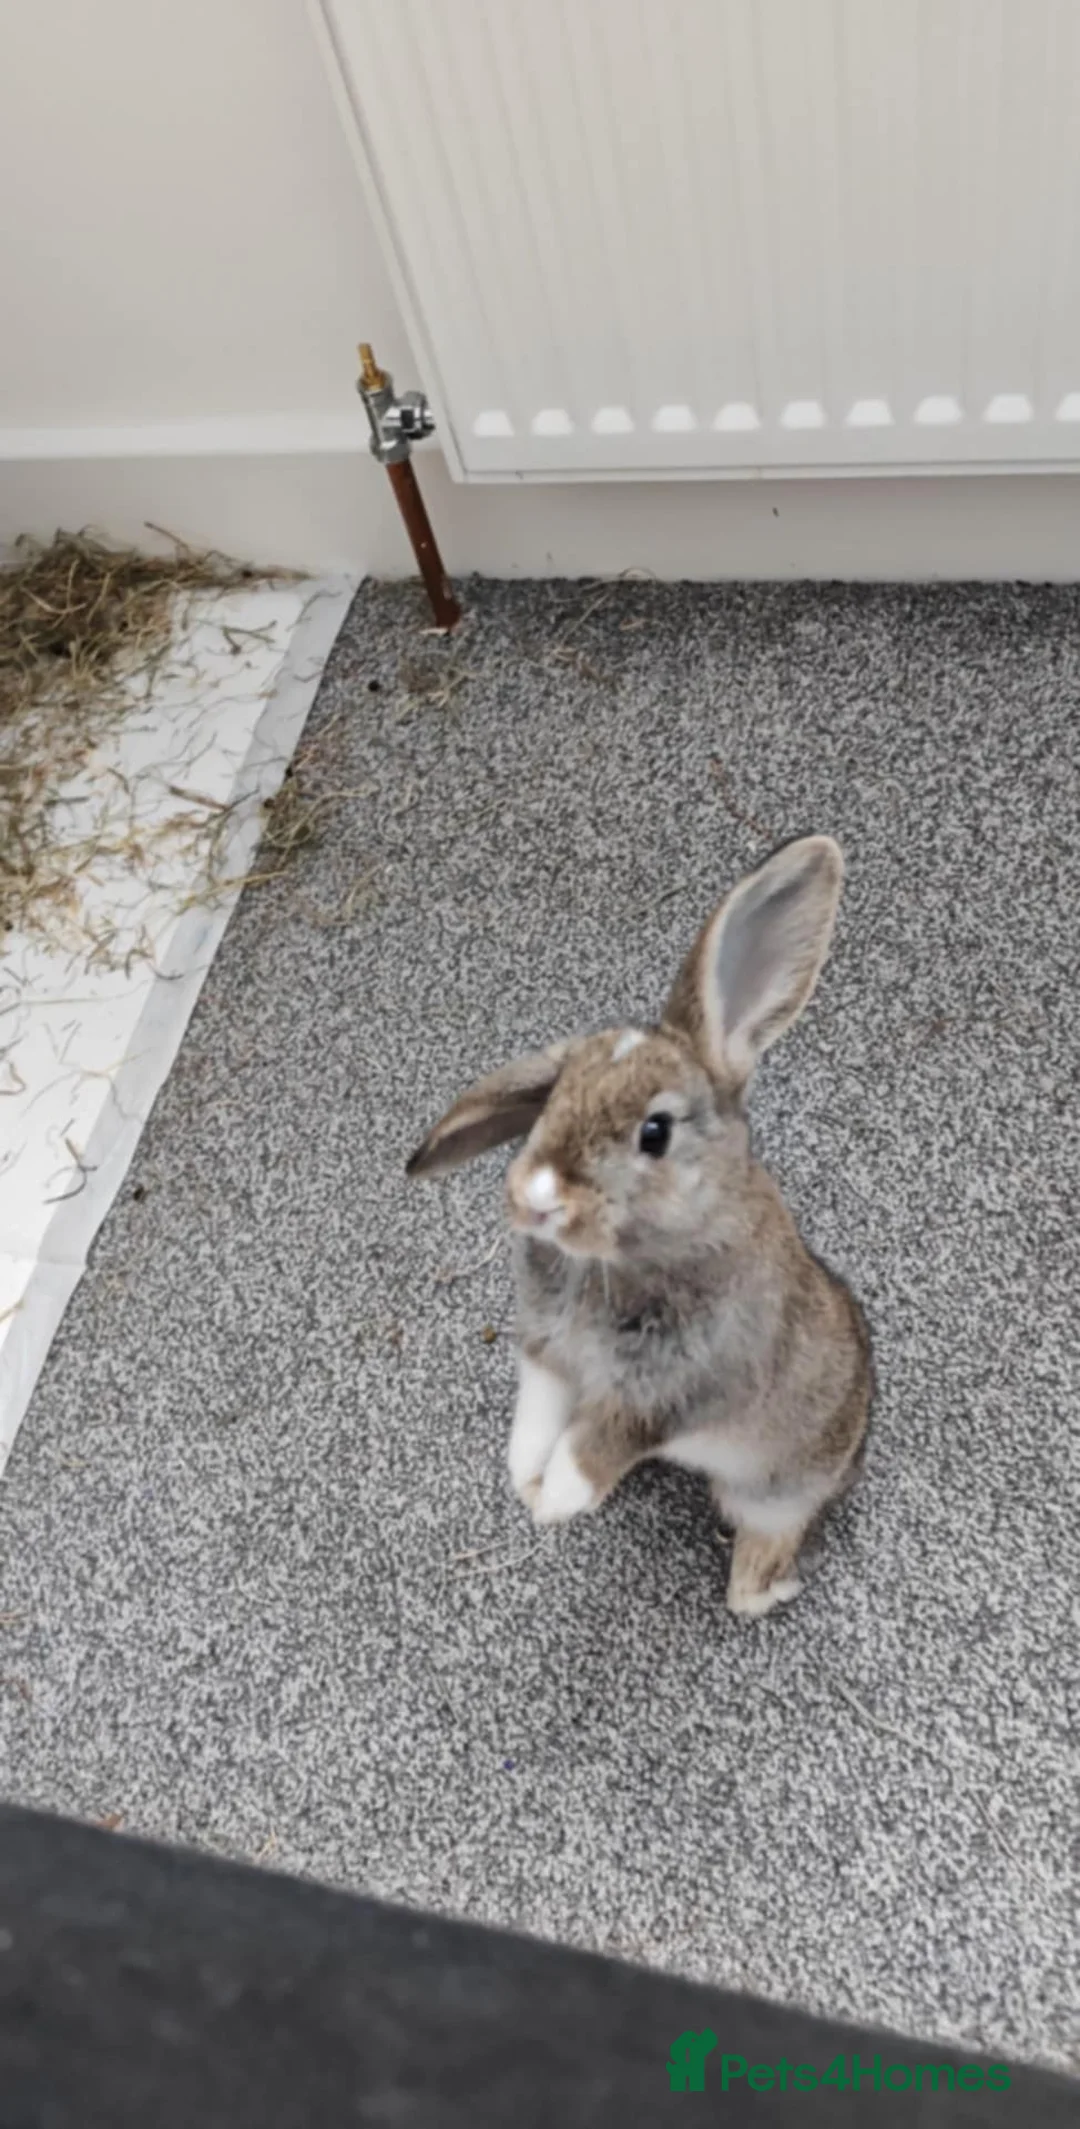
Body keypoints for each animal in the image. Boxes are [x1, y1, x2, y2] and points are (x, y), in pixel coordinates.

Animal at [407, 835, 871, 1616]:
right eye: (553, 1099)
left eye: (655, 1132)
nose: (536, 1196)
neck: (611, 1263)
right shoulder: (549, 1356)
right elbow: (538, 1417)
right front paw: (524, 1477)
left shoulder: (671, 1394)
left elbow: (597, 1448)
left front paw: (554, 1501)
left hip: (772, 1491)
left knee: (756, 1563)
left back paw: (771, 1590)